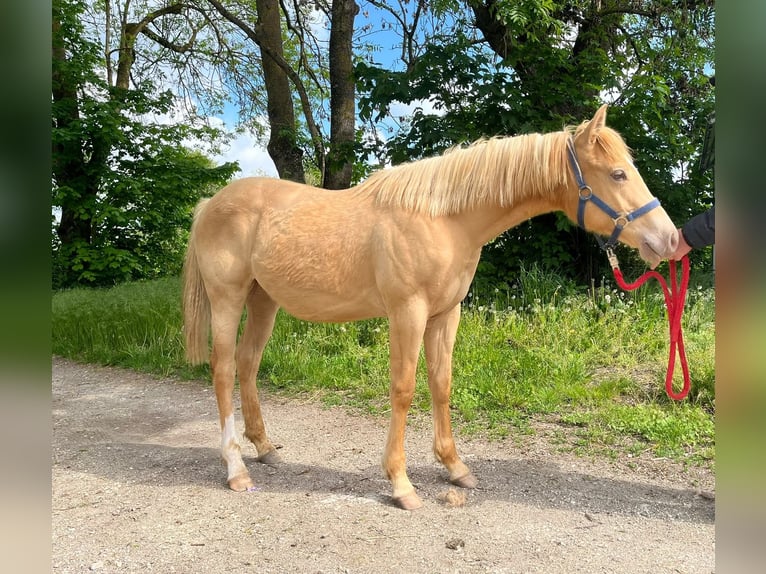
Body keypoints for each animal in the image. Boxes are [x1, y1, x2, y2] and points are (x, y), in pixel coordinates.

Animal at [182, 105, 678, 510]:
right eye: (618, 174)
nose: (669, 239)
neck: (443, 219)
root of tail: (210, 203)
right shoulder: (409, 312)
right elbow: (403, 389)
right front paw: (401, 484)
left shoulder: (445, 313)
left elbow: (441, 383)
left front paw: (455, 467)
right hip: (228, 299)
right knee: (223, 370)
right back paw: (236, 469)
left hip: (263, 300)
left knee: (248, 363)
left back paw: (264, 448)